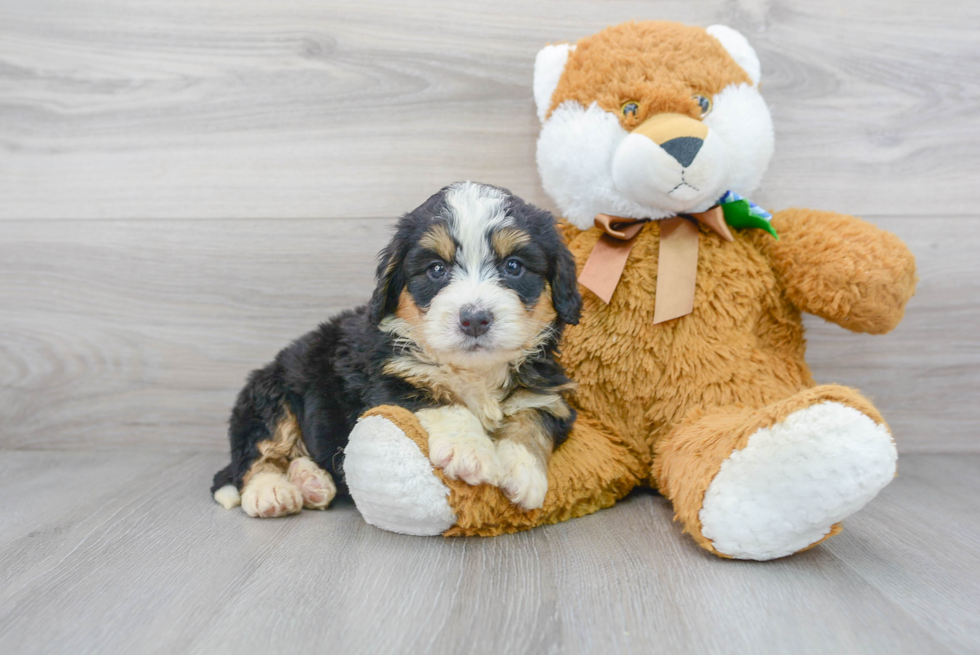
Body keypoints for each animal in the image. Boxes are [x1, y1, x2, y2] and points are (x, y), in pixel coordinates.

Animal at [212, 183, 580, 516]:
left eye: (514, 266)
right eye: (436, 269)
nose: (474, 319)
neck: (474, 370)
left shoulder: (548, 393)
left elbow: (531, 419)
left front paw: (522, 472)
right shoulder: (386, 380)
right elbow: (442, 401)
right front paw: (469, 451)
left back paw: (311, 482)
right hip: (269, 396)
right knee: (255, 454)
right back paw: (272, 491)